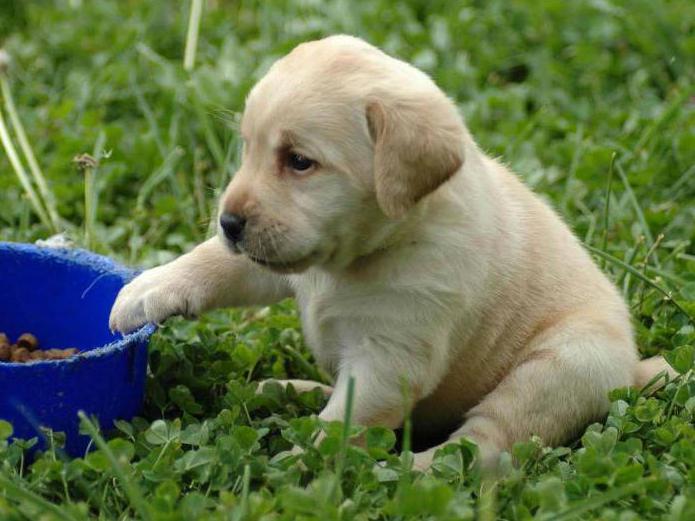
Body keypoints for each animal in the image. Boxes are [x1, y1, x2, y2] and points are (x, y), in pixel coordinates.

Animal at [111, 34, 676, 470]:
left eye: (299, 161)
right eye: (248, 148)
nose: (228, 222)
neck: (361, 256)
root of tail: (632, 369)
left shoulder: (390, 356)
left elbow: (343, 425)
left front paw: (300, 465)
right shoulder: (276, 262)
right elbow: (215, 262)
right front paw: (145, 290)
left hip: (563, 364)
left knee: (486, 445)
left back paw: (422, 469)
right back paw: (290, 388)